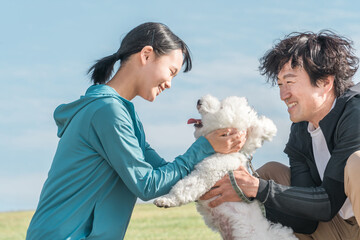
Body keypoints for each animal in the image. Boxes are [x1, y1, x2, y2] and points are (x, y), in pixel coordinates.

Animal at [153, 95, 296, 240]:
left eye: (221, 107)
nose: (199, 101)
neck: (225, 152)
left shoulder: (206, 173)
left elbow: (185, 187)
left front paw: (166, 200)